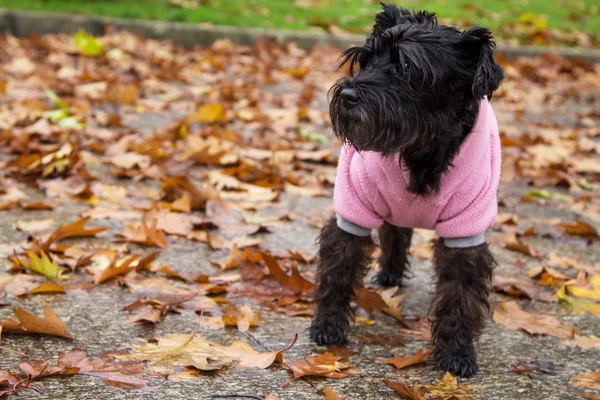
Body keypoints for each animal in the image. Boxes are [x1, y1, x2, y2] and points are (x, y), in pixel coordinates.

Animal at [310, 3, 502, 378]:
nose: (348, 95)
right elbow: (338, 269)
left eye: (408, 66)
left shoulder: (466, 230)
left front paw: (457, 354)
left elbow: (460, 295)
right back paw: (390, 274)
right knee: (395, 232)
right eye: (366, 60)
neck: (421, 148)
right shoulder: (354, 208)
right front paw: (327, 325)